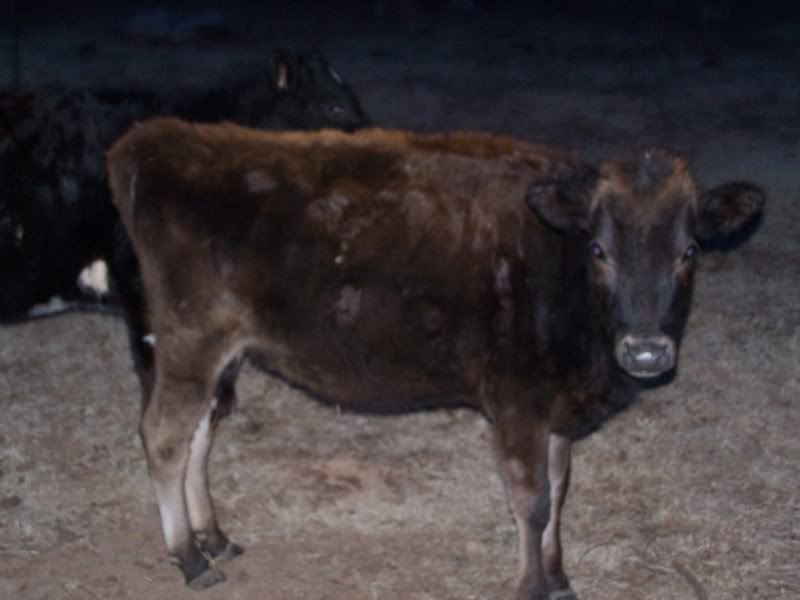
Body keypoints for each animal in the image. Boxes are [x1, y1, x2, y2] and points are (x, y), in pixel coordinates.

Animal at [107, 117, 764, 600]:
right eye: (599, 249)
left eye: (690, 249)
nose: (647, 350)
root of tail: (157, 138)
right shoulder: (517, 401)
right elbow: (532, 501)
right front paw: (531, 587)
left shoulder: (554, 409)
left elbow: (560, 492)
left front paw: (558, 577)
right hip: (191, 338)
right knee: (164, 437)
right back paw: (189, 557)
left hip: (222, 351)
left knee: (200, 432)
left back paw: (212, 536)